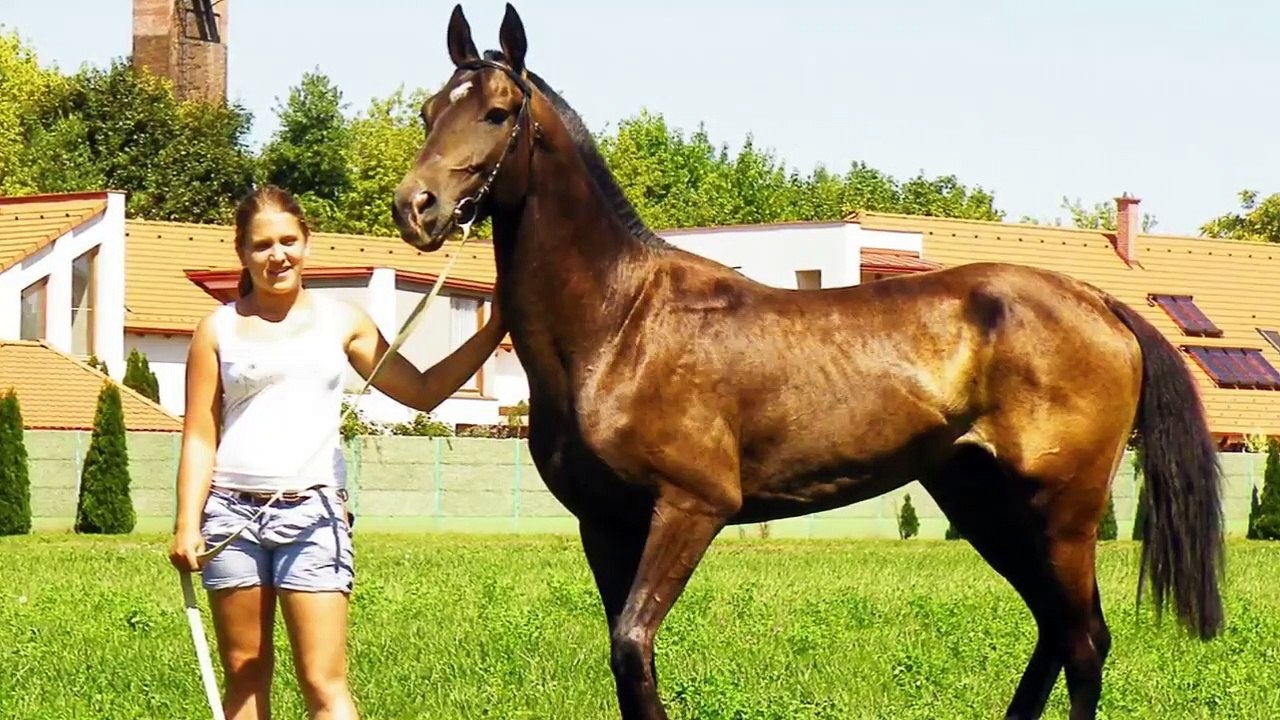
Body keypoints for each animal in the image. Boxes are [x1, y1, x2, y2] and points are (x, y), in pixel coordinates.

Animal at [390, 5, 1225, 719]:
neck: (621, 323)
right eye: (430, 111)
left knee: (1083, 642)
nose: (415, 207)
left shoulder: (691, 508)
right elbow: (625, 657)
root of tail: (1100, 301)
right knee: (1056, 631)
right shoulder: (605, 523)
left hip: (1063, 512)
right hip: (983, 502)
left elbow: (633, 645)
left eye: (498, 112)